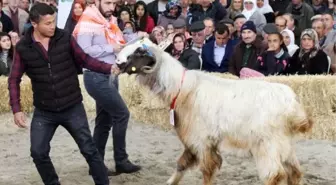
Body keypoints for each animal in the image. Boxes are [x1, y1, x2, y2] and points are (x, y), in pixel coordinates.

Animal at [115, 37, 312, 185]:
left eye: (140, 51)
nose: (117, 62)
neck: (183, 89)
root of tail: (293, 106)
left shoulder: (202, 140)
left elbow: (207, 171)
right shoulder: (193, 142)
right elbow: (181, 165)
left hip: (267, 145)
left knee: (275, 176)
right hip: (284, 144)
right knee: (295, 173)